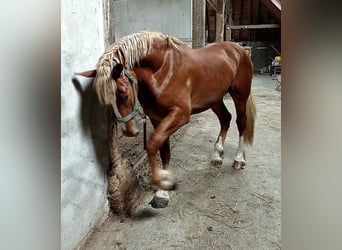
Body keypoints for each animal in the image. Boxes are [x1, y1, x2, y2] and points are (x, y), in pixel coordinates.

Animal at [76, 30, 255, 207]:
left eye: (124, 94)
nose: (129, 131)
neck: (163, 69)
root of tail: (239, 49)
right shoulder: (157, 118)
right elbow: (164, 151)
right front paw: (163, 193)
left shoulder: (180, 114)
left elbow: (152, 144)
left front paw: (164, 183)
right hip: (215, 99)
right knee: (225, 119)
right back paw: (217, 156)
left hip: (240, 96)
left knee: (241, 123)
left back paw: (239, 159)